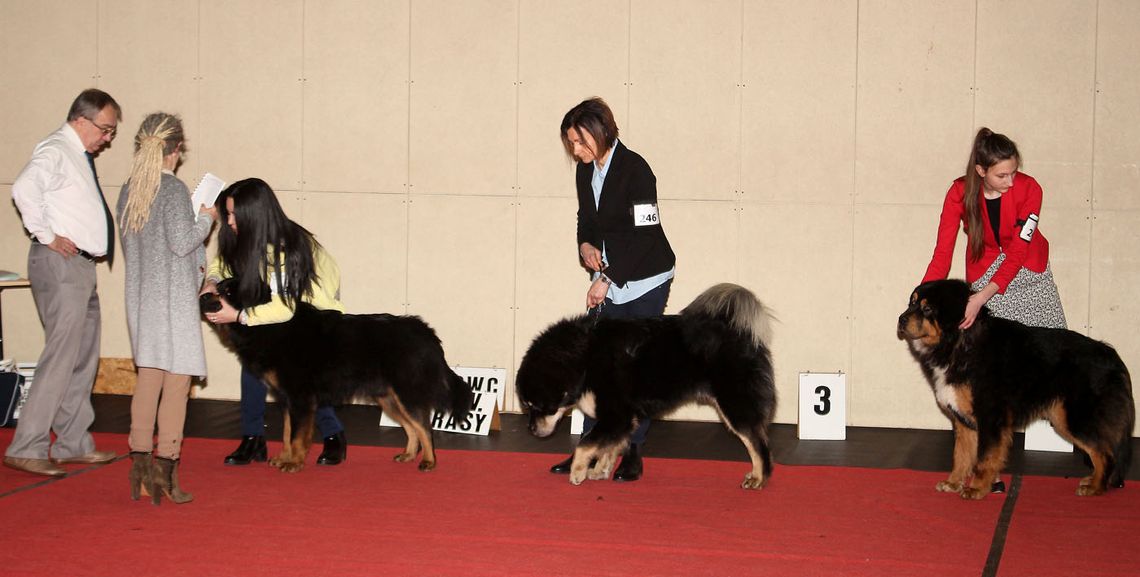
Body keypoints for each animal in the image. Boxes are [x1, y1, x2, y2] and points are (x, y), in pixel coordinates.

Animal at [201, 279, 471, 474]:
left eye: (226, 290)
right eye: (216, 286)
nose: (202, 295)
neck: (270, 325)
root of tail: (425, 331)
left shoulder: (300, 397)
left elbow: (297, 435)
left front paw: (294, 462)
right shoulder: (287, 399)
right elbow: (287, 433)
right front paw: (285, 457)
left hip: (406, 393)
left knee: (424, 426)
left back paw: (429, 460)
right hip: (388, 398)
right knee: (411, 427)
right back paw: (409, 454)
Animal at [898, 278, 1130, 494]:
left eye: (927, 309)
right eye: (912, 303)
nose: (901, 319)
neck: (959, 343)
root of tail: (1111, 355)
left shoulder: (990, 415)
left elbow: (984, 457)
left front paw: (977, 489)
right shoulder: (963, 418)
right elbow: (962, 455)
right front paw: (953, 483)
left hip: (1076, 417)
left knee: (1105, 453)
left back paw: (1095, 487)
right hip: (1063, 417)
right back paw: (1093, 480)